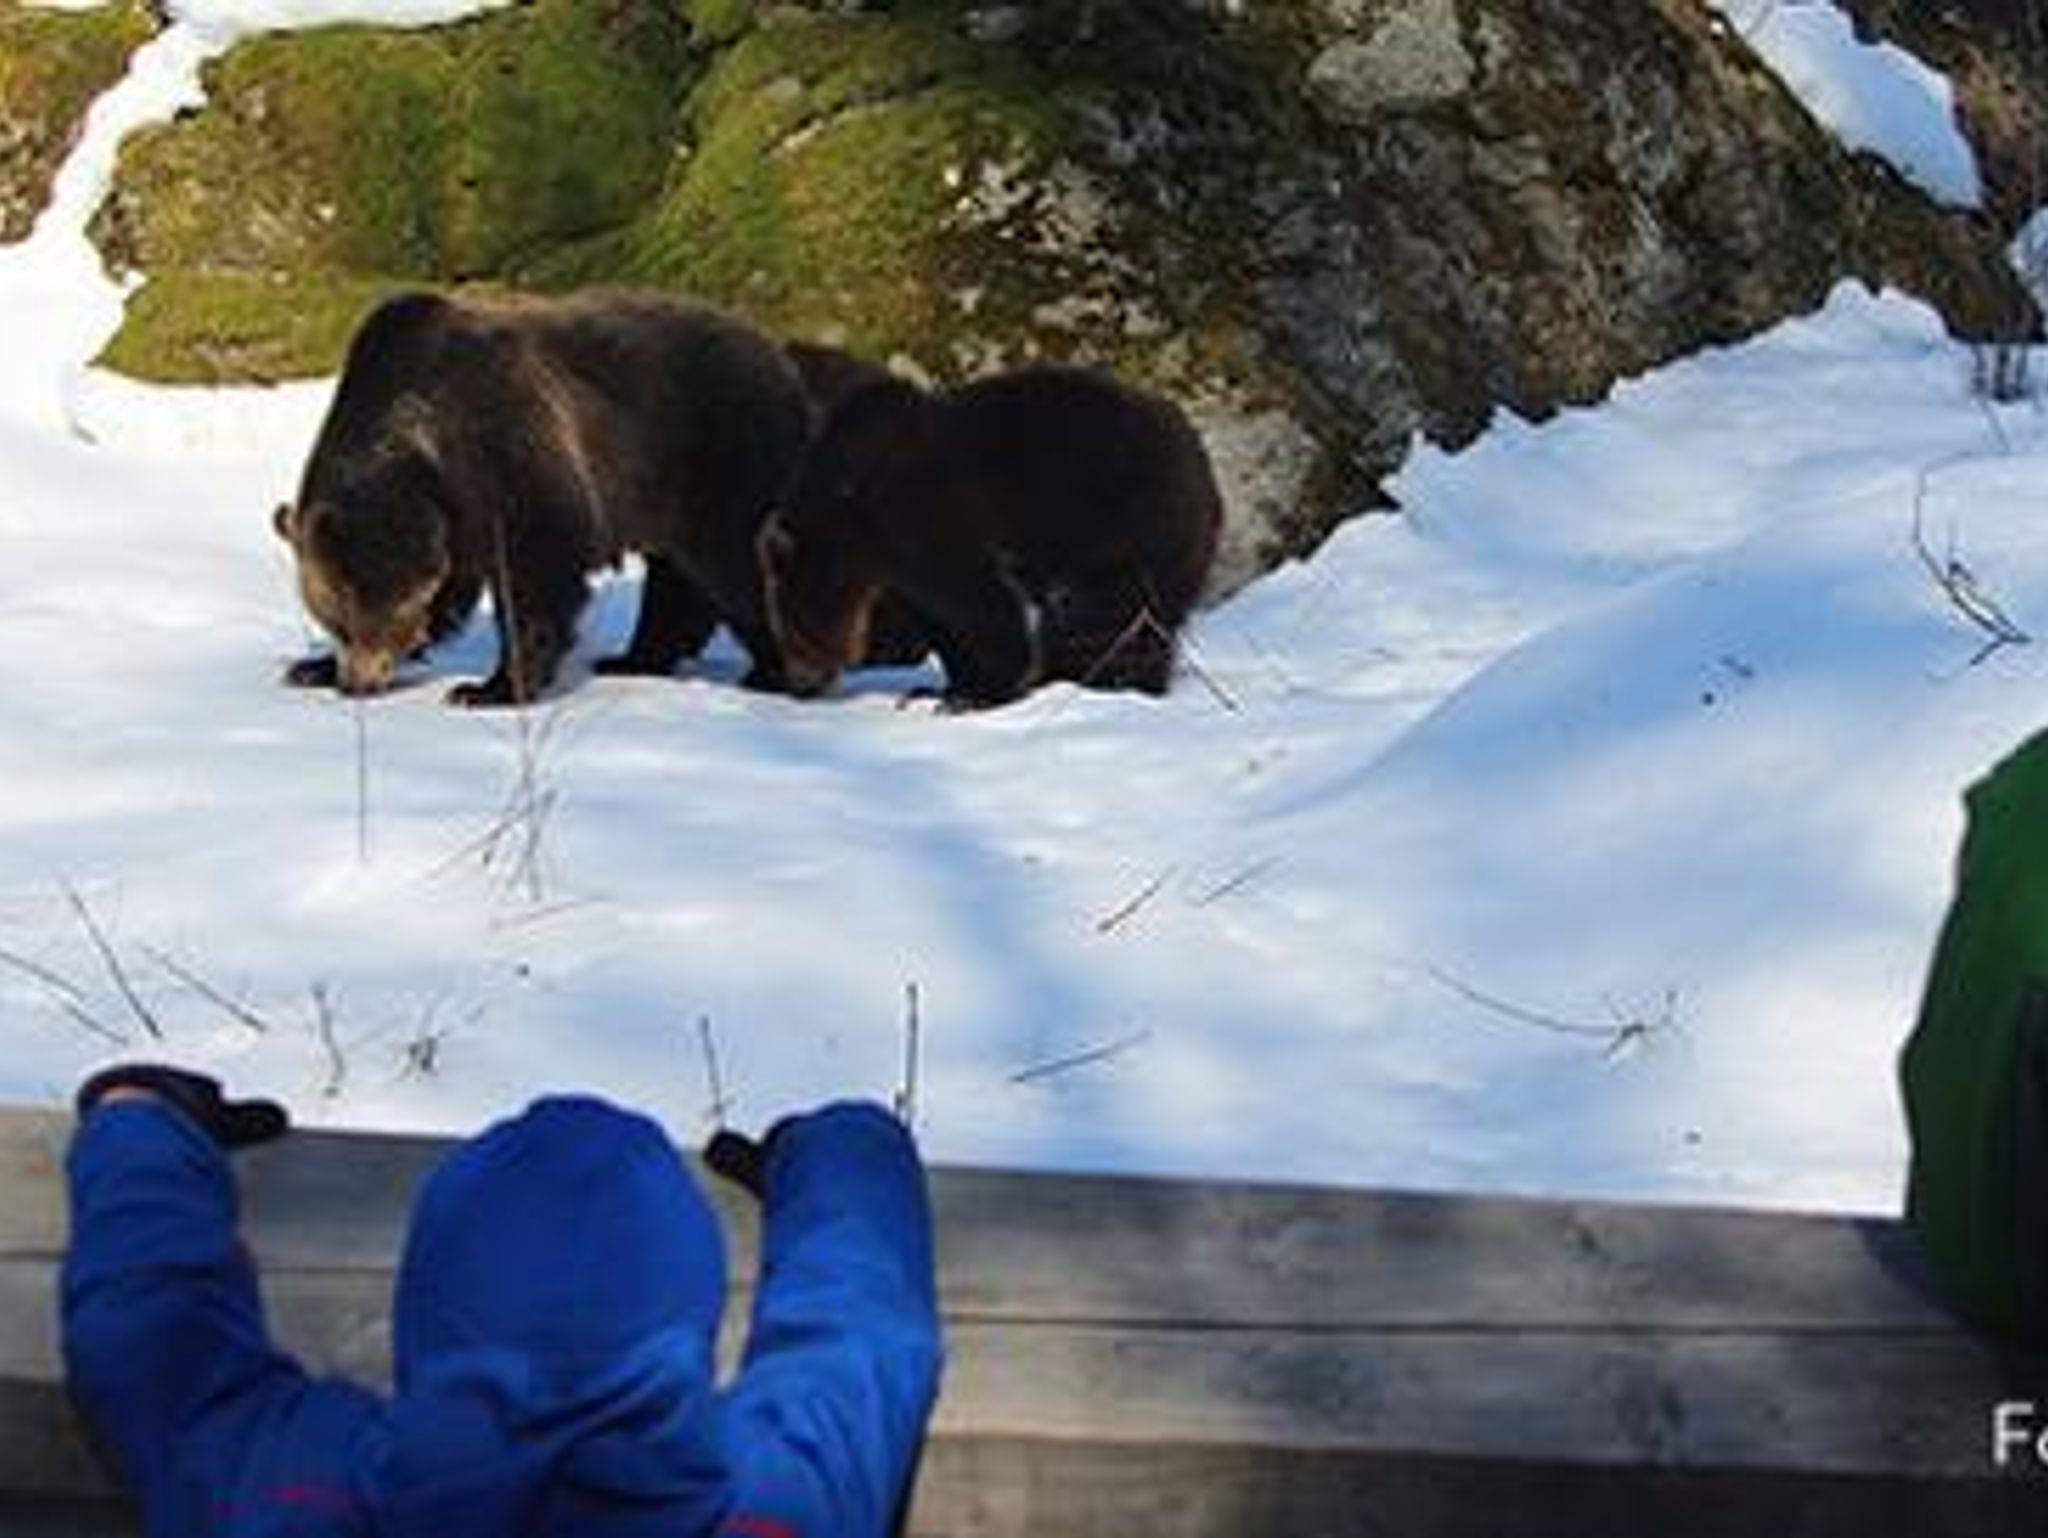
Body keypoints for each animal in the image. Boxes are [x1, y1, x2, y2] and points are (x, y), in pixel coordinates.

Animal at [275, 288, 814, 706]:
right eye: (331, 618)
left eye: (351, 615)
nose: (356, 683)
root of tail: (782, 360)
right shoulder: (453, 519)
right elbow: (448, 594)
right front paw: (310, 667)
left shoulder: (506, 452)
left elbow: (536, 571)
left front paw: (486, 688)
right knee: (678, 578)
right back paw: (633, 657)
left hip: (720, 454)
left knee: (742, 565)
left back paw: (780, 672)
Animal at [758, 365, 1223, 708]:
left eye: (789, 630)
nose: (799, 684)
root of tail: (1204, 467)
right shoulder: (896, 563)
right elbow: (941, 619)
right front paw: (944, 687)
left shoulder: (921, 511)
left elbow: (977, 599)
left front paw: (982, 692)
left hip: (1124, 521)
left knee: (1104, 617)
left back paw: (1103, 683)